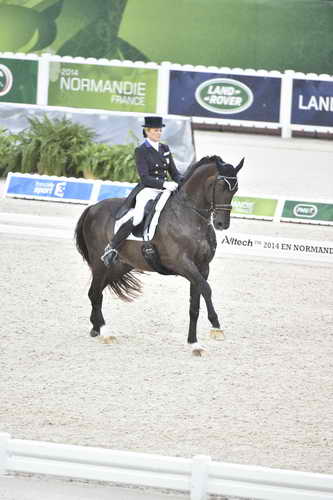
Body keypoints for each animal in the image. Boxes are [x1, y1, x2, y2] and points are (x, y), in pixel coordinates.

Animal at [74, 156, 241, 356]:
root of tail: (92, 208)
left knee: (95, 292)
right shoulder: (183, 264)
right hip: (100, 265)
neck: (190, 216)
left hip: (121, 266)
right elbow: (206, 289)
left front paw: (194, 344)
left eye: (236, 189)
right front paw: (216, 327)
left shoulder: (202, 267)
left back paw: (96, 328)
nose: (222, 224)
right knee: (96, 293)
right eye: (221, 186)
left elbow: (194, 305)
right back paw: (106, 332)